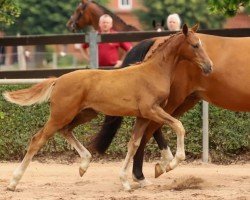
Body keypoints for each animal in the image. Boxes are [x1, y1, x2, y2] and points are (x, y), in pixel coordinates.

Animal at [2, 25, 212, 191]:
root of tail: (58, 80)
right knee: (37, 139)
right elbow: (179, 126)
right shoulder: (151, 110)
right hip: (61, 115)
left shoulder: (143, 116)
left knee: (66, 130)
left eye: (201, 43)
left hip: (86, 114)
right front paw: (172, 163)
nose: (209, 67)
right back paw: (13, 182)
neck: (153, 72)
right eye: (195, 45)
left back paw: (84, 164)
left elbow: (134, 144)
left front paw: (126, 182)